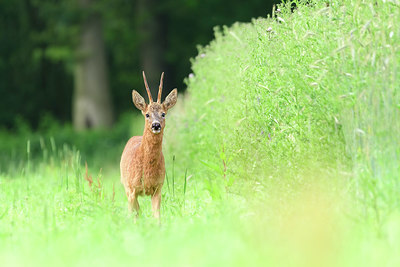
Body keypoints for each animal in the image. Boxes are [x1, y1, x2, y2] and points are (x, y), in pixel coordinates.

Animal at [119, 71, 177, 220]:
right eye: (147, 114)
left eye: (163, 114)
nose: (156, 125)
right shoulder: (131, 189)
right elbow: (133, 216)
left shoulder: (158, 188)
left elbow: (157, 217)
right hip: (125, 185)